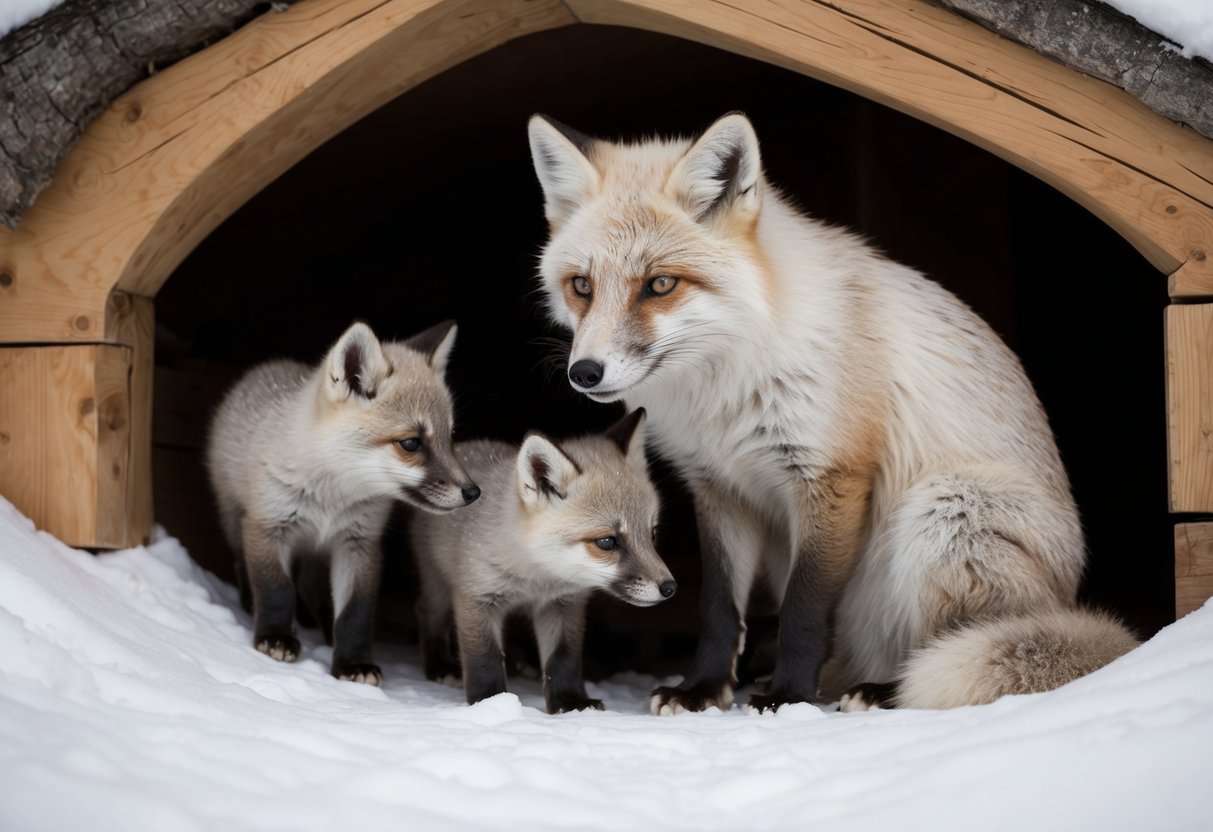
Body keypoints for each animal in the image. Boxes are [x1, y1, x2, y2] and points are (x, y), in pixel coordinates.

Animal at [206, 320, 480, 685]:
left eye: (450, 438)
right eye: (410, 443)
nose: (473, 492)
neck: (330, 500)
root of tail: (275, 366)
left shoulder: (359, 543)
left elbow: (355, 613)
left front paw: (353, 664)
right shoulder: (268, 525)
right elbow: (277, 588)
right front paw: (276, 637)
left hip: (315, 553)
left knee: (313, 589)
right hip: (235, 521)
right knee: (246, 566)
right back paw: (254, 606)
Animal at [409, 408, 678, 713]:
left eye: (652, 534)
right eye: (607, 542)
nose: (669, 587)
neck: (537, 578)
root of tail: (469, 446)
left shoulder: (563, 603)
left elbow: (563, 659)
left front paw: (570, 702)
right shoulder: (477, 596)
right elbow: (485, 659)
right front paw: (491, 703)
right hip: (438, 584)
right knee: (427, 614)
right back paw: (440, 667)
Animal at [527, 112, 1140, 713]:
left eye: (660, 284)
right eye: (582, 285)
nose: (585, 372)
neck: (725, 388)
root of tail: (1066, 599)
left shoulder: (831, 475)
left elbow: (804, 609)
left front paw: (789, 696)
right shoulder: (719, 486)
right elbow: (719, 609)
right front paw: (702, 690)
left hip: (944, 512)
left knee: (948, 643)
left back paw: (884, 690)